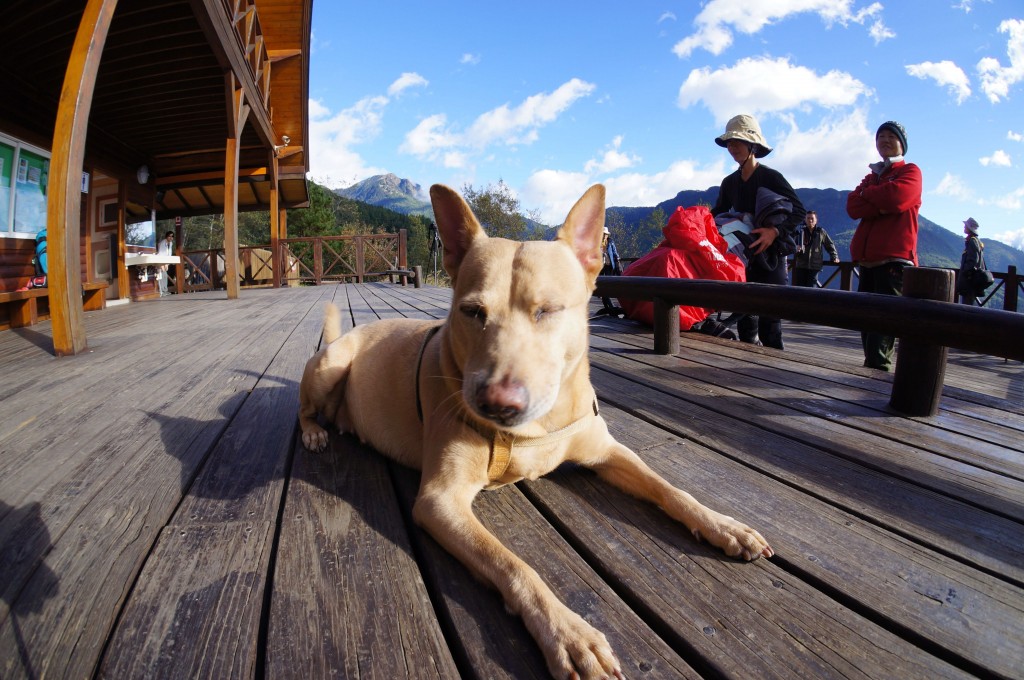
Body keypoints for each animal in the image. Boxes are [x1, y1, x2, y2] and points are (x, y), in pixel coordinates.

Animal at [299, 183, 770, 675]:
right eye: (472, 311)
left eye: (548, 310)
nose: (496, 402)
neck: (535, 427)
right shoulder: (439, 501)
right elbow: (513, 564)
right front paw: (568, 633)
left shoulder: (609, 452)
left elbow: (670, 489)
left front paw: (721, 524)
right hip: (330, 367)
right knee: (304, 408)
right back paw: (314, 432)